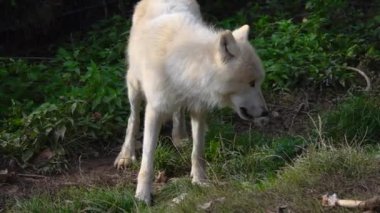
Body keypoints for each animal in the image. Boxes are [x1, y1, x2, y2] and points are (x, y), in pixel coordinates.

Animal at [114, 0, 268, 205]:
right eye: (251, 83)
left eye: (258, 82)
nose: (265, 112)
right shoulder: (154, 110)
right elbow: (147, 160)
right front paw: (142, 195)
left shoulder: (199, 109)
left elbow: (198, 152)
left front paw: (199, 180)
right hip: (134, 86)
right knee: (133, 119)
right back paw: (126, 154)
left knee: (178, 112)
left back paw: (180, 137)